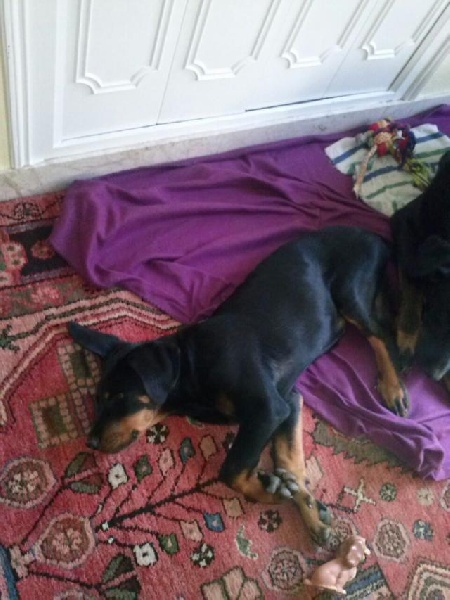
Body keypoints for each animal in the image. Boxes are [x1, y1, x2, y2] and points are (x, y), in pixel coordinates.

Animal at [69, 225, 406, 546]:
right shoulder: (289, 400)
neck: (192, 365)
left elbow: (232, 468)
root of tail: (374, 236)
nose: (91, 442)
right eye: (98, 399)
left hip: (350, 289)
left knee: (380, 335)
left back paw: (394, 388)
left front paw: (273, 492)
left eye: (120, 397)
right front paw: (310, 510)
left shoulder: (268, 408)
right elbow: (289, 460)